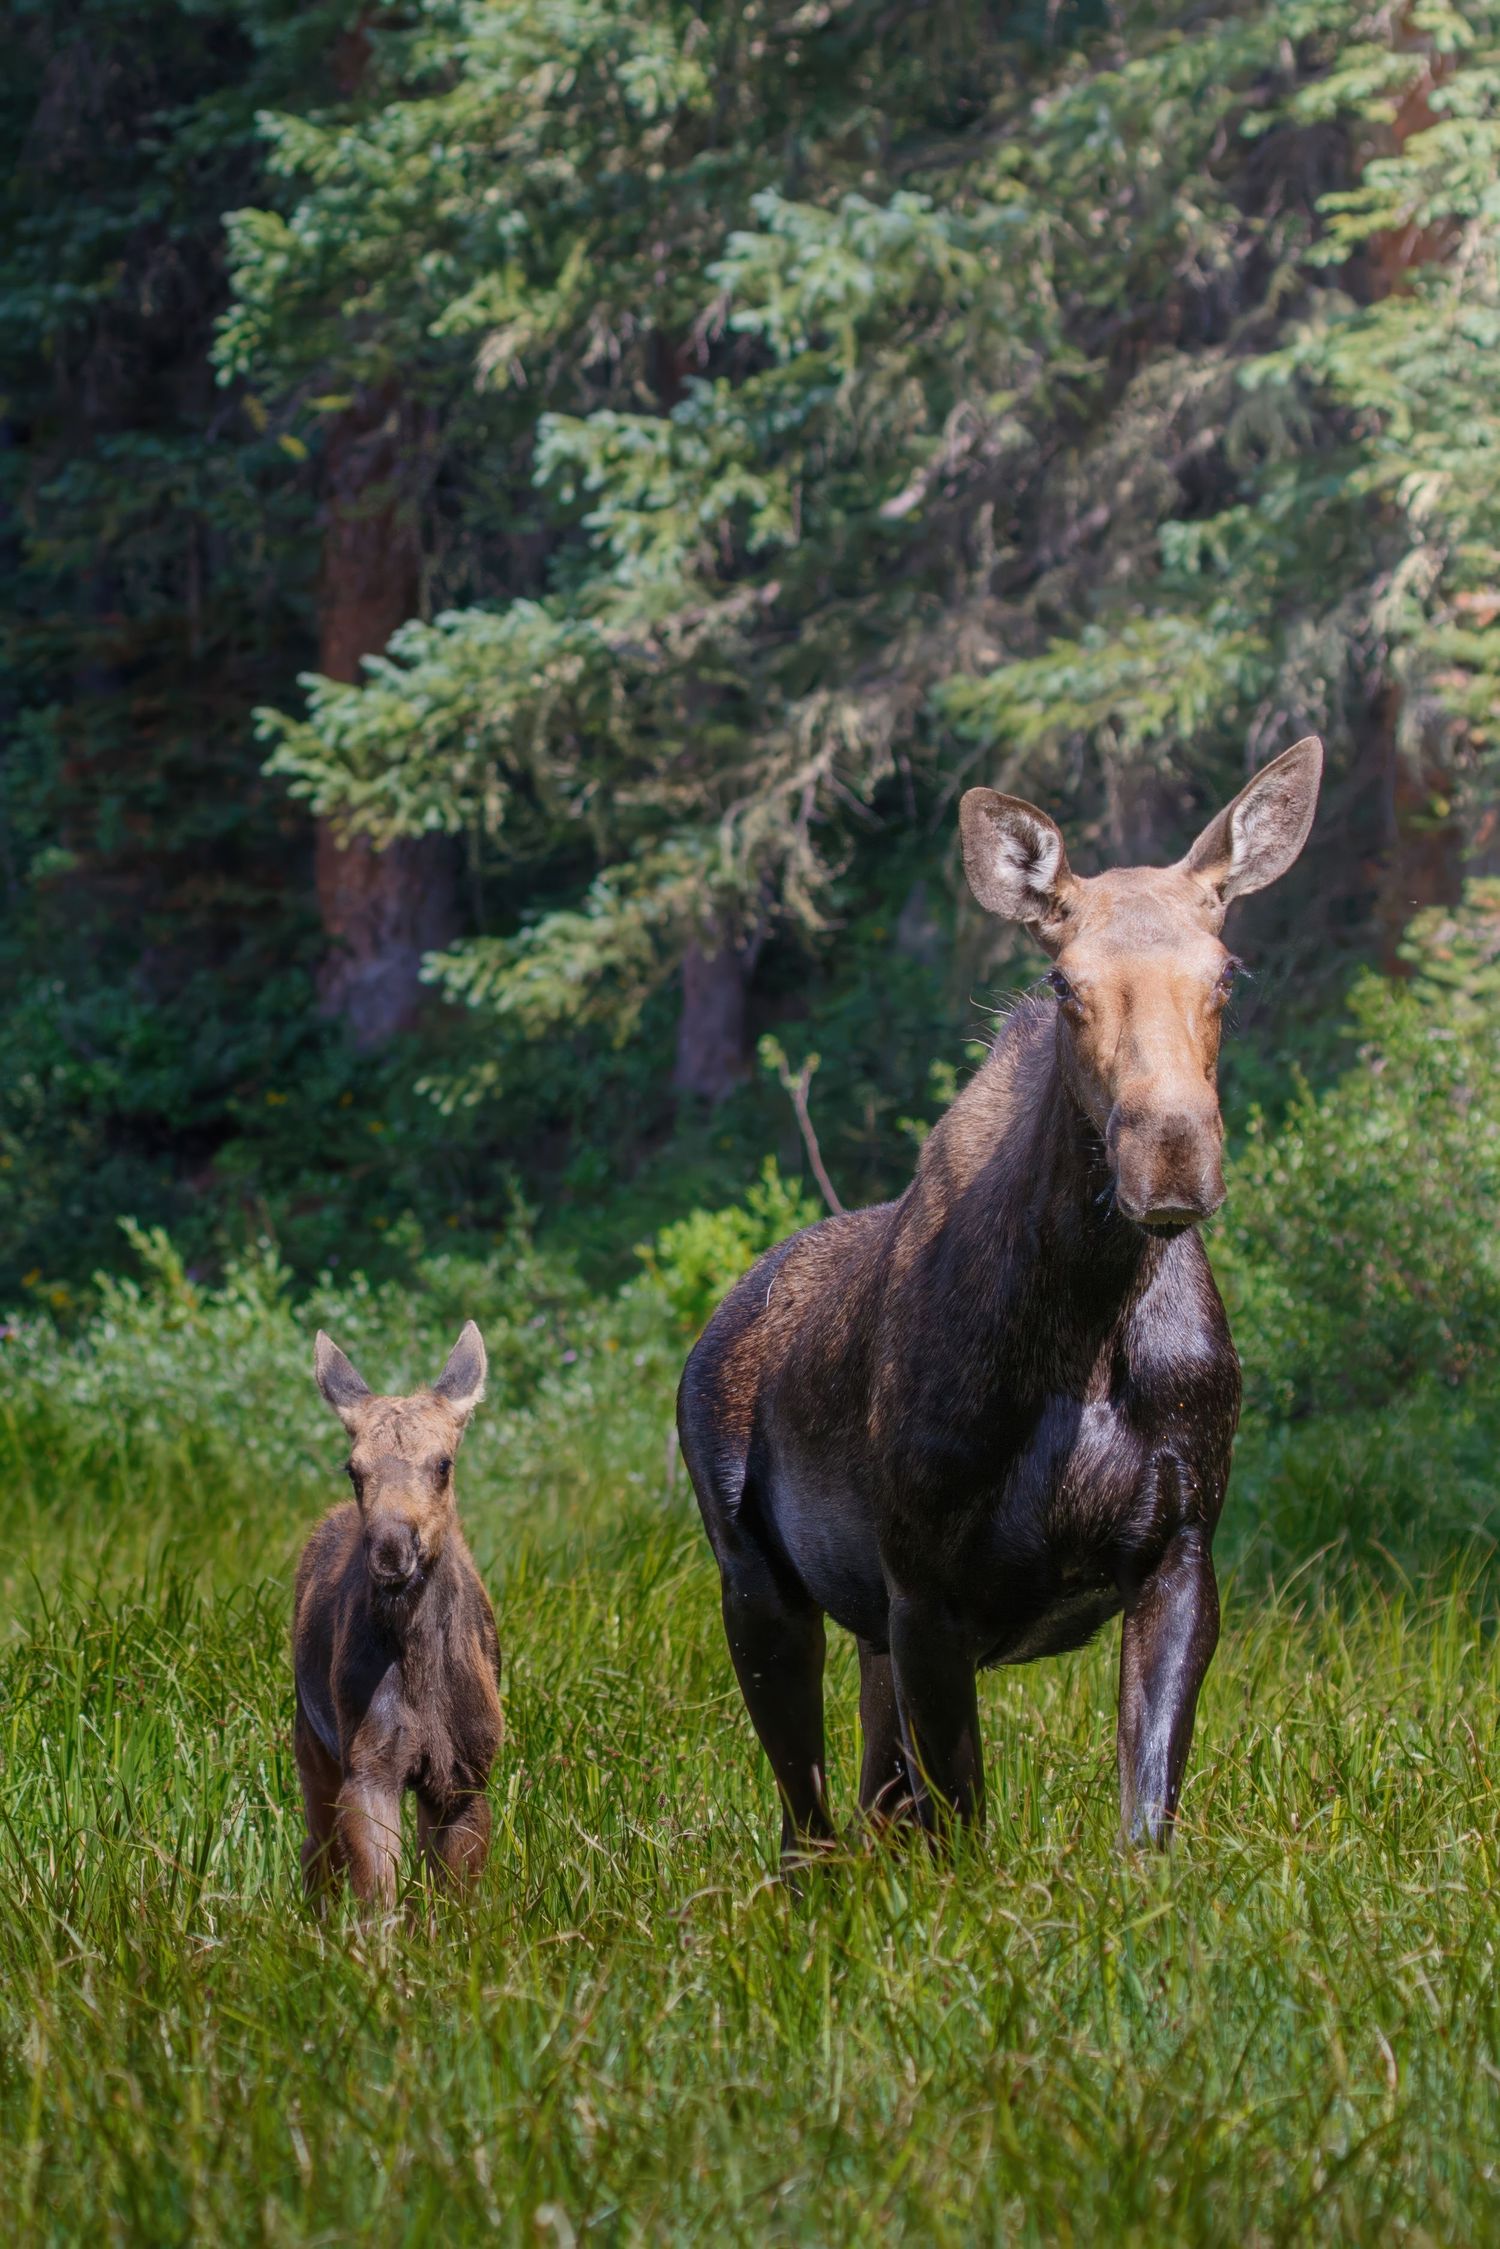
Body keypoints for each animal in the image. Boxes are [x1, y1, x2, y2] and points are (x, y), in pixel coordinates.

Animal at [294, 1321, 502, 1910]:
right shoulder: (368, 1764)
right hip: (311, 1739)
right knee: (316, 1852)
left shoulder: (465, 1772)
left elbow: (450, 1904)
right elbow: (378, 1898)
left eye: (443, 1463)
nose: (390, 1548)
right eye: (353, 1469)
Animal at [677, 738, 1323, 1861]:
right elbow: (965, 1837)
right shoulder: (926, 1586)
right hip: (756, 1584)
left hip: (862, 1633)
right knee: (809, 1828)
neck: (1085, 1320)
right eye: (1065, 981)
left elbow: (1145, 1818)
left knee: (869, 1803)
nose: (1170, 1155)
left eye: (1226, 972)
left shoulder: (1180, 1549)